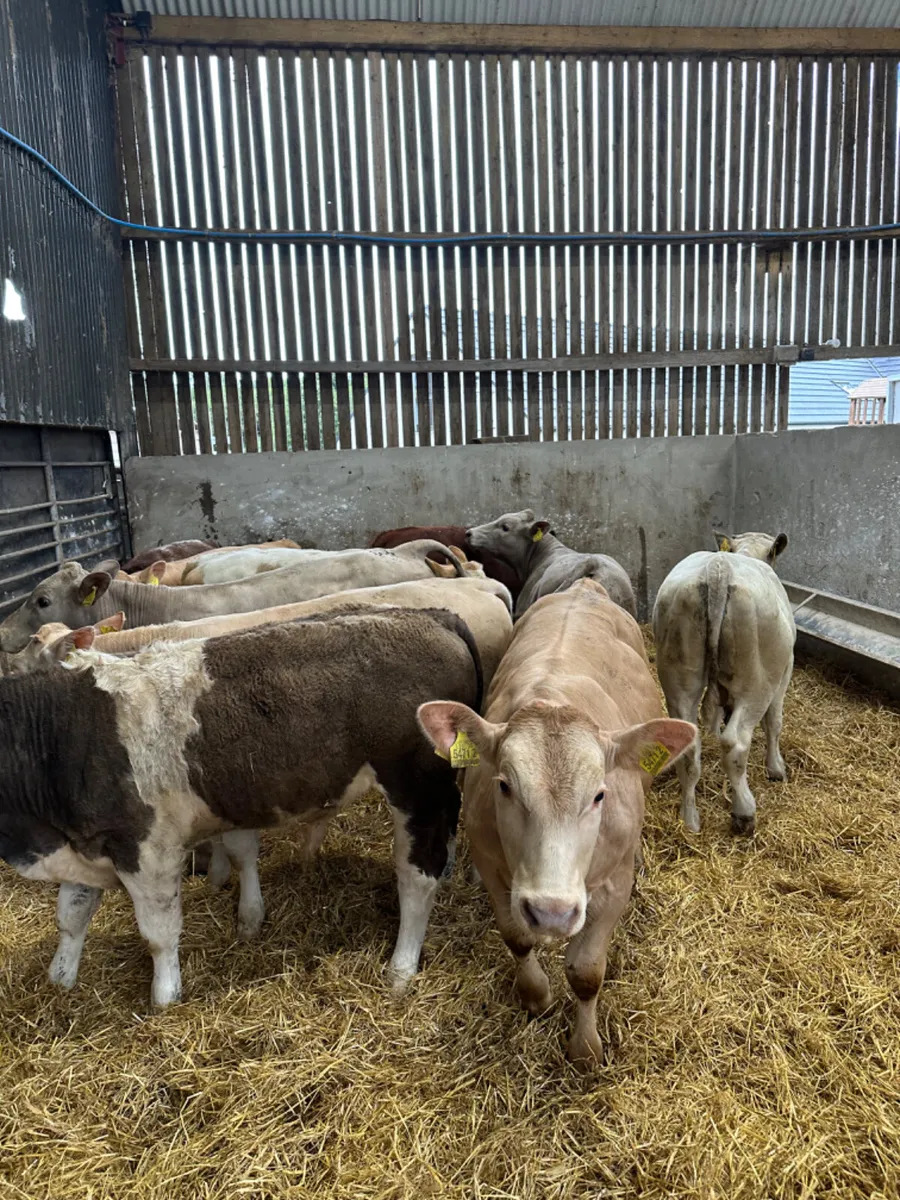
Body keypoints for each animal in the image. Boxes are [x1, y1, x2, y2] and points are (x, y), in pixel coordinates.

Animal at [0, 608, 482, 1007]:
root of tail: (429, 615)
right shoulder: (83, 839)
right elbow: (71, 915)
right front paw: (60, 980)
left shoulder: (148, 846)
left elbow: (159, 933)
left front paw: (165, 999)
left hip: (417, 789)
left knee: (417, 876)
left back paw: (401, 968)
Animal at [417, 580, 695, 1068]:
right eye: (504, 785)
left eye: (600, 795)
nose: (551, 912)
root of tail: (585, 585)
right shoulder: (493, 865)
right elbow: (517, 938)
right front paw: (535, 995)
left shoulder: (612, 886)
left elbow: (586, 973)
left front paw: (585, 1048)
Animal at [652, 529, 795, 836]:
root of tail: (719, 568)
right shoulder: (784, 672)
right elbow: (774, 723)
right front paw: (776, 768)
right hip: (756, 684)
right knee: (735, 743)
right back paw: (744, 812)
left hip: (679, 677)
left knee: (690, 747)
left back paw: (690, 819)